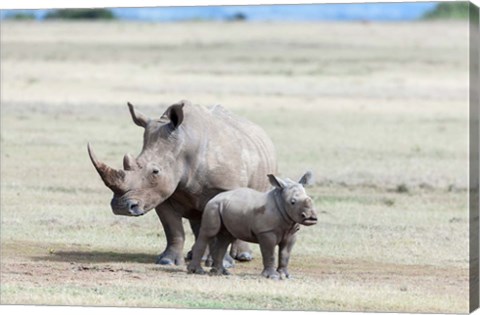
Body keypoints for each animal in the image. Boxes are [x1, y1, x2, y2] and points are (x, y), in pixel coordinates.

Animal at [188, 173, 318, 278]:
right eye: (292, 202)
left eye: (310, 199)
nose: (311, 218)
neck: (280, 200)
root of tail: (214, 197)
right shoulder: (266, 232)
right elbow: (269, 253)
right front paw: (272, 276)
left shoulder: (292, 232)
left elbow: (285, 254)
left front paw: (286, 275)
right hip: (213, 206)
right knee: (209, 233)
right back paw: (197, 271)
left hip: (223, 207)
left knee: (225, 238)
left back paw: (220, 273)